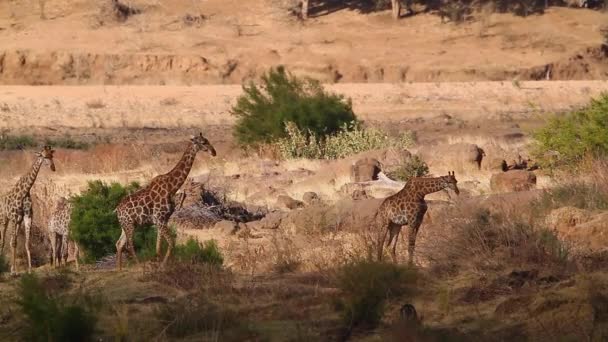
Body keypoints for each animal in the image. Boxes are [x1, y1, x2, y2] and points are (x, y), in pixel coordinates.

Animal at [0, 146, 55, 274]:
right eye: (44, 156)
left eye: (52, 155)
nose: (53, 168)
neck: (24, 192)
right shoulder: (14, 217)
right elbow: (14, 243)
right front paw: (13, 271)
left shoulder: (27, 217)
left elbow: (27, 242)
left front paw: (29, 269)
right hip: (4, 218)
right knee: (3, 240)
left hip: (17, 222)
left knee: (10, 240)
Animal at [114, 134, 216, 270]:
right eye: (203, 142)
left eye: (207, 140)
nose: (214, 152)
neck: (172, 187)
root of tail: (117, 210)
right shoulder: (159, 218)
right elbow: (171, 243)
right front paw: (162, 265)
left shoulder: (162, 219)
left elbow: (158, 245)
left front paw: (158, 263)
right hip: (129, 224)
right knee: (129, 244)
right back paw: (139, 266)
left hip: (127, 225)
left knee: (119, 243)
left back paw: (119, 269)